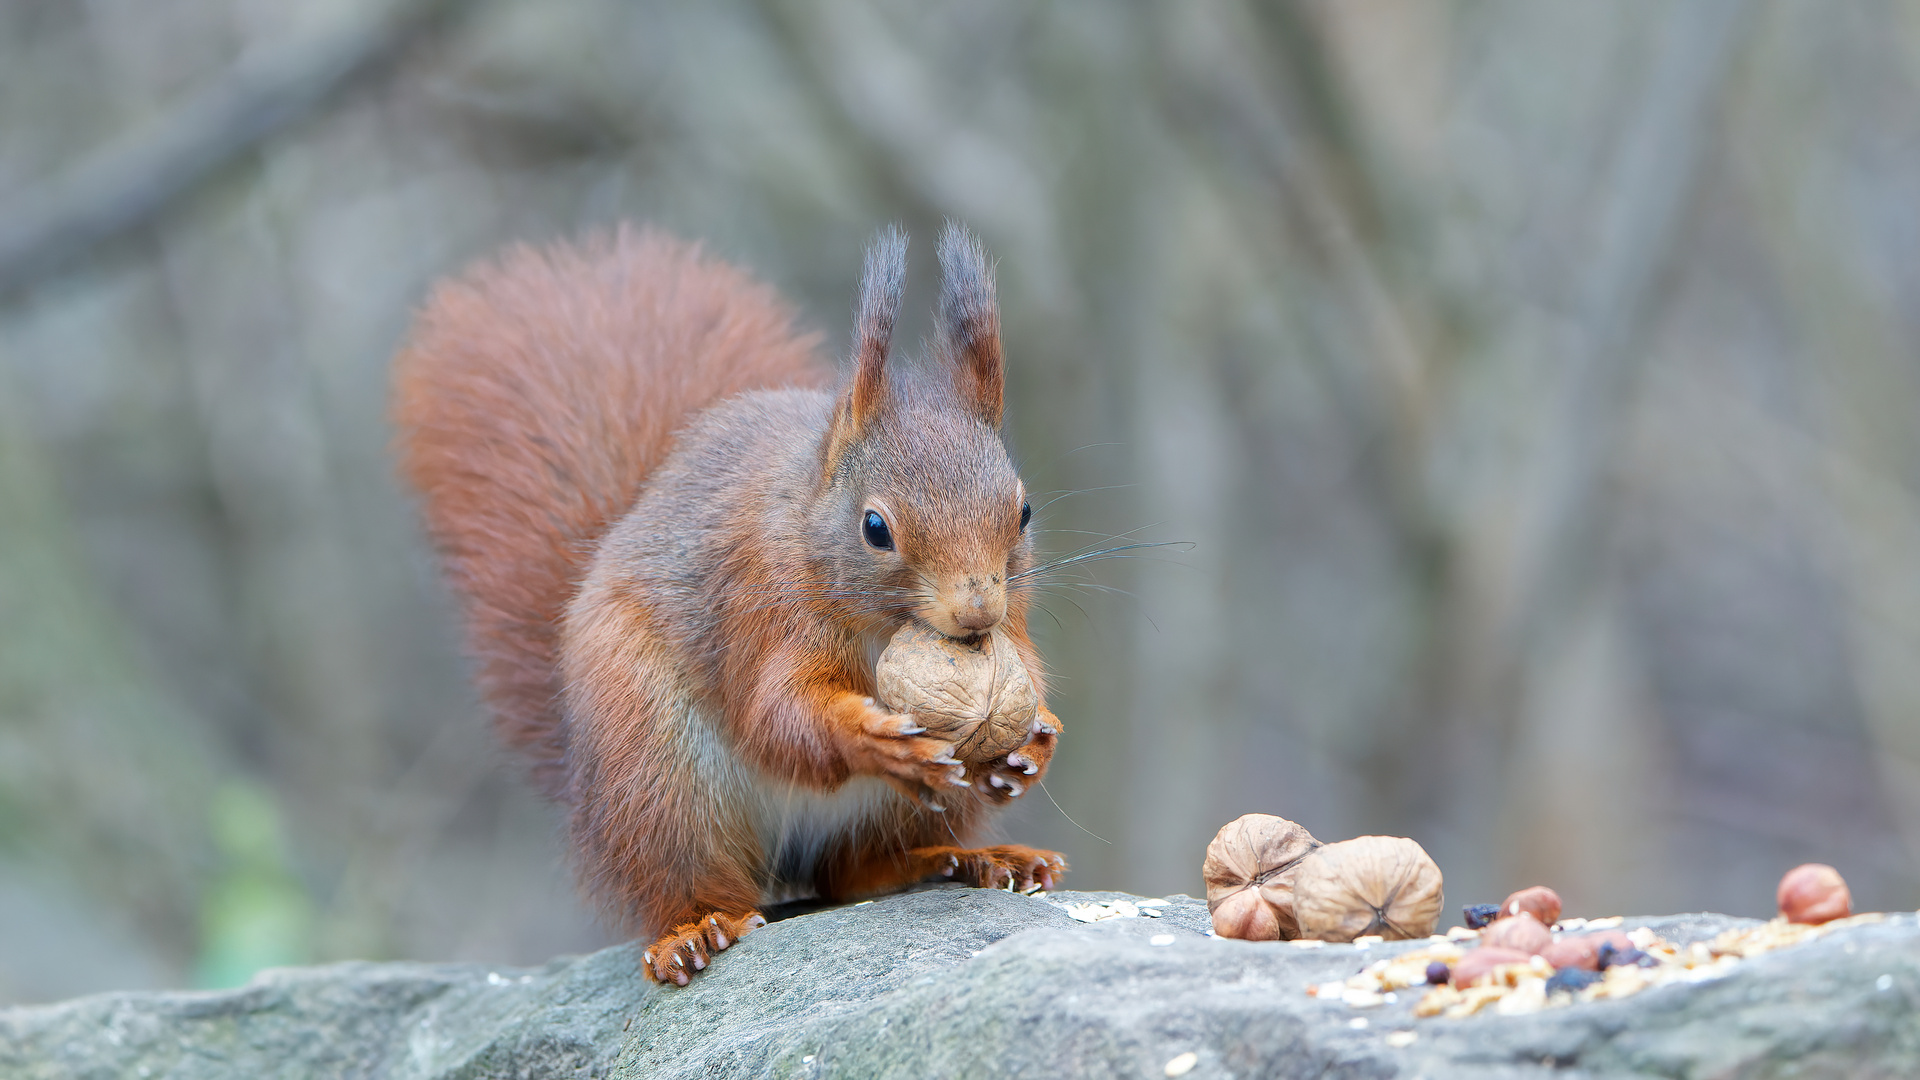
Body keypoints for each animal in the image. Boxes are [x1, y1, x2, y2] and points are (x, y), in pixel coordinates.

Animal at [393, 222, 1067, 980]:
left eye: (1024, 511)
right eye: (875, 528)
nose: (976, 613)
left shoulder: (1013, 620)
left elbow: (1024, 669)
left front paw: (1034, 739)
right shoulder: (759, 607)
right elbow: (777, 713)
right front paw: (872, 738)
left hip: (902, 813)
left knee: (857, 871)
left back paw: (964, 860)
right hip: (652, 768)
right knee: (689, 877)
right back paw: (696, 930)